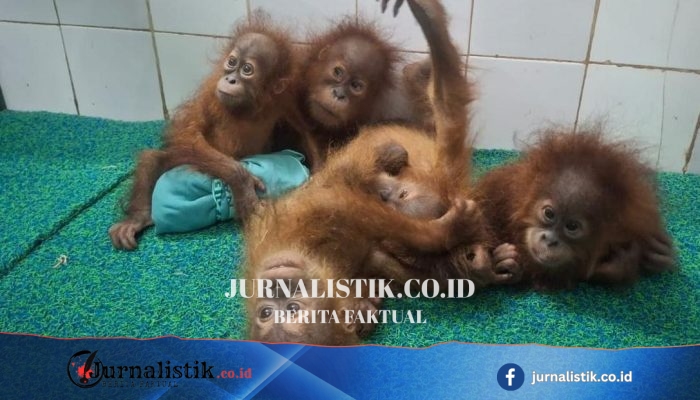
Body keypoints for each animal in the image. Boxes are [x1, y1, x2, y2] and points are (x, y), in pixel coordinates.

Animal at [109, 14, 317, 250]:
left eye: (247, 69)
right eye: (232, 62)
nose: (230, 79)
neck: (247, 107)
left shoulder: (283, 97)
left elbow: (301, 128)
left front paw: (321, 173)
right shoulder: (210, 93)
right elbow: (189, 134)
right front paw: (243, 184)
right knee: (153, 160)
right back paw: (137, 218)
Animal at [243, 0, 511, 345]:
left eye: (291, 307)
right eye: (267, 313)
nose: (277, 283)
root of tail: (449, 181)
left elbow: (342, 202)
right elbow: (363, 223)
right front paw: (458, 247)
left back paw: (429, 28)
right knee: (448, 109)